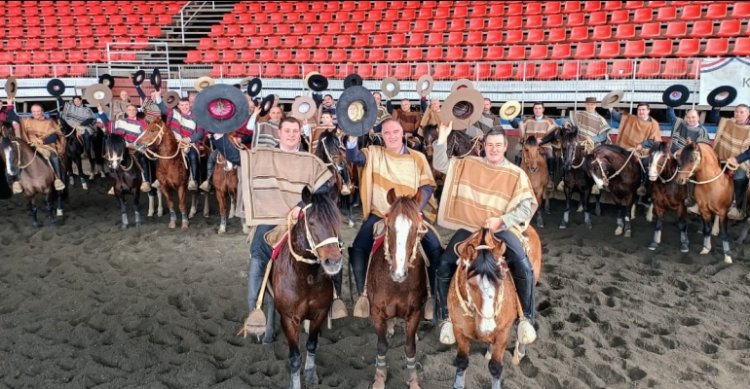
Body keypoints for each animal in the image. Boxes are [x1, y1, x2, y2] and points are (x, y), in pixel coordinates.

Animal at [268, 185, 346, 388]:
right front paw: (295, 383)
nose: (333, 262)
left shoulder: (320, 312)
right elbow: (294, 357)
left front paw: (311, 375)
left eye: (338, 220)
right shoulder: (289, 319)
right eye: (311, 223)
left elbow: (311, 343)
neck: (305, 276)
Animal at [362, 189, 428, 388]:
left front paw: (413, 380)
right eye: (389, 226)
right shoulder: (376, 312)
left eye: (416, 228)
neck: (397, 285)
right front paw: (379, 378)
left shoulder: (415, 313)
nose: (398, 273)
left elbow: (410, 348)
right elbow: (382, 346)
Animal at [450, 226, 544, 386]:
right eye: (471, 282)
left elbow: (495, 367)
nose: (487, 326)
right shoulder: (459, 329)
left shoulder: (503, 331)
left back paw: (519, 353)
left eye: (501, 279)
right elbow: (461, 362)